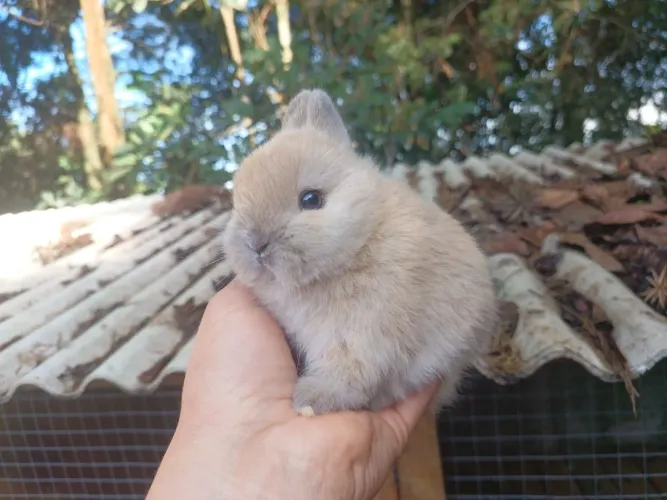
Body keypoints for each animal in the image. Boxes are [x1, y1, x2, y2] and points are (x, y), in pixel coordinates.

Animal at [222, 88, 498, 416]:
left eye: (311, 199)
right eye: (237, 202)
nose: (256, 244)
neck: (359, 243)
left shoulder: (361, 333)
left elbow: (348, 368)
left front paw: (312, 400)